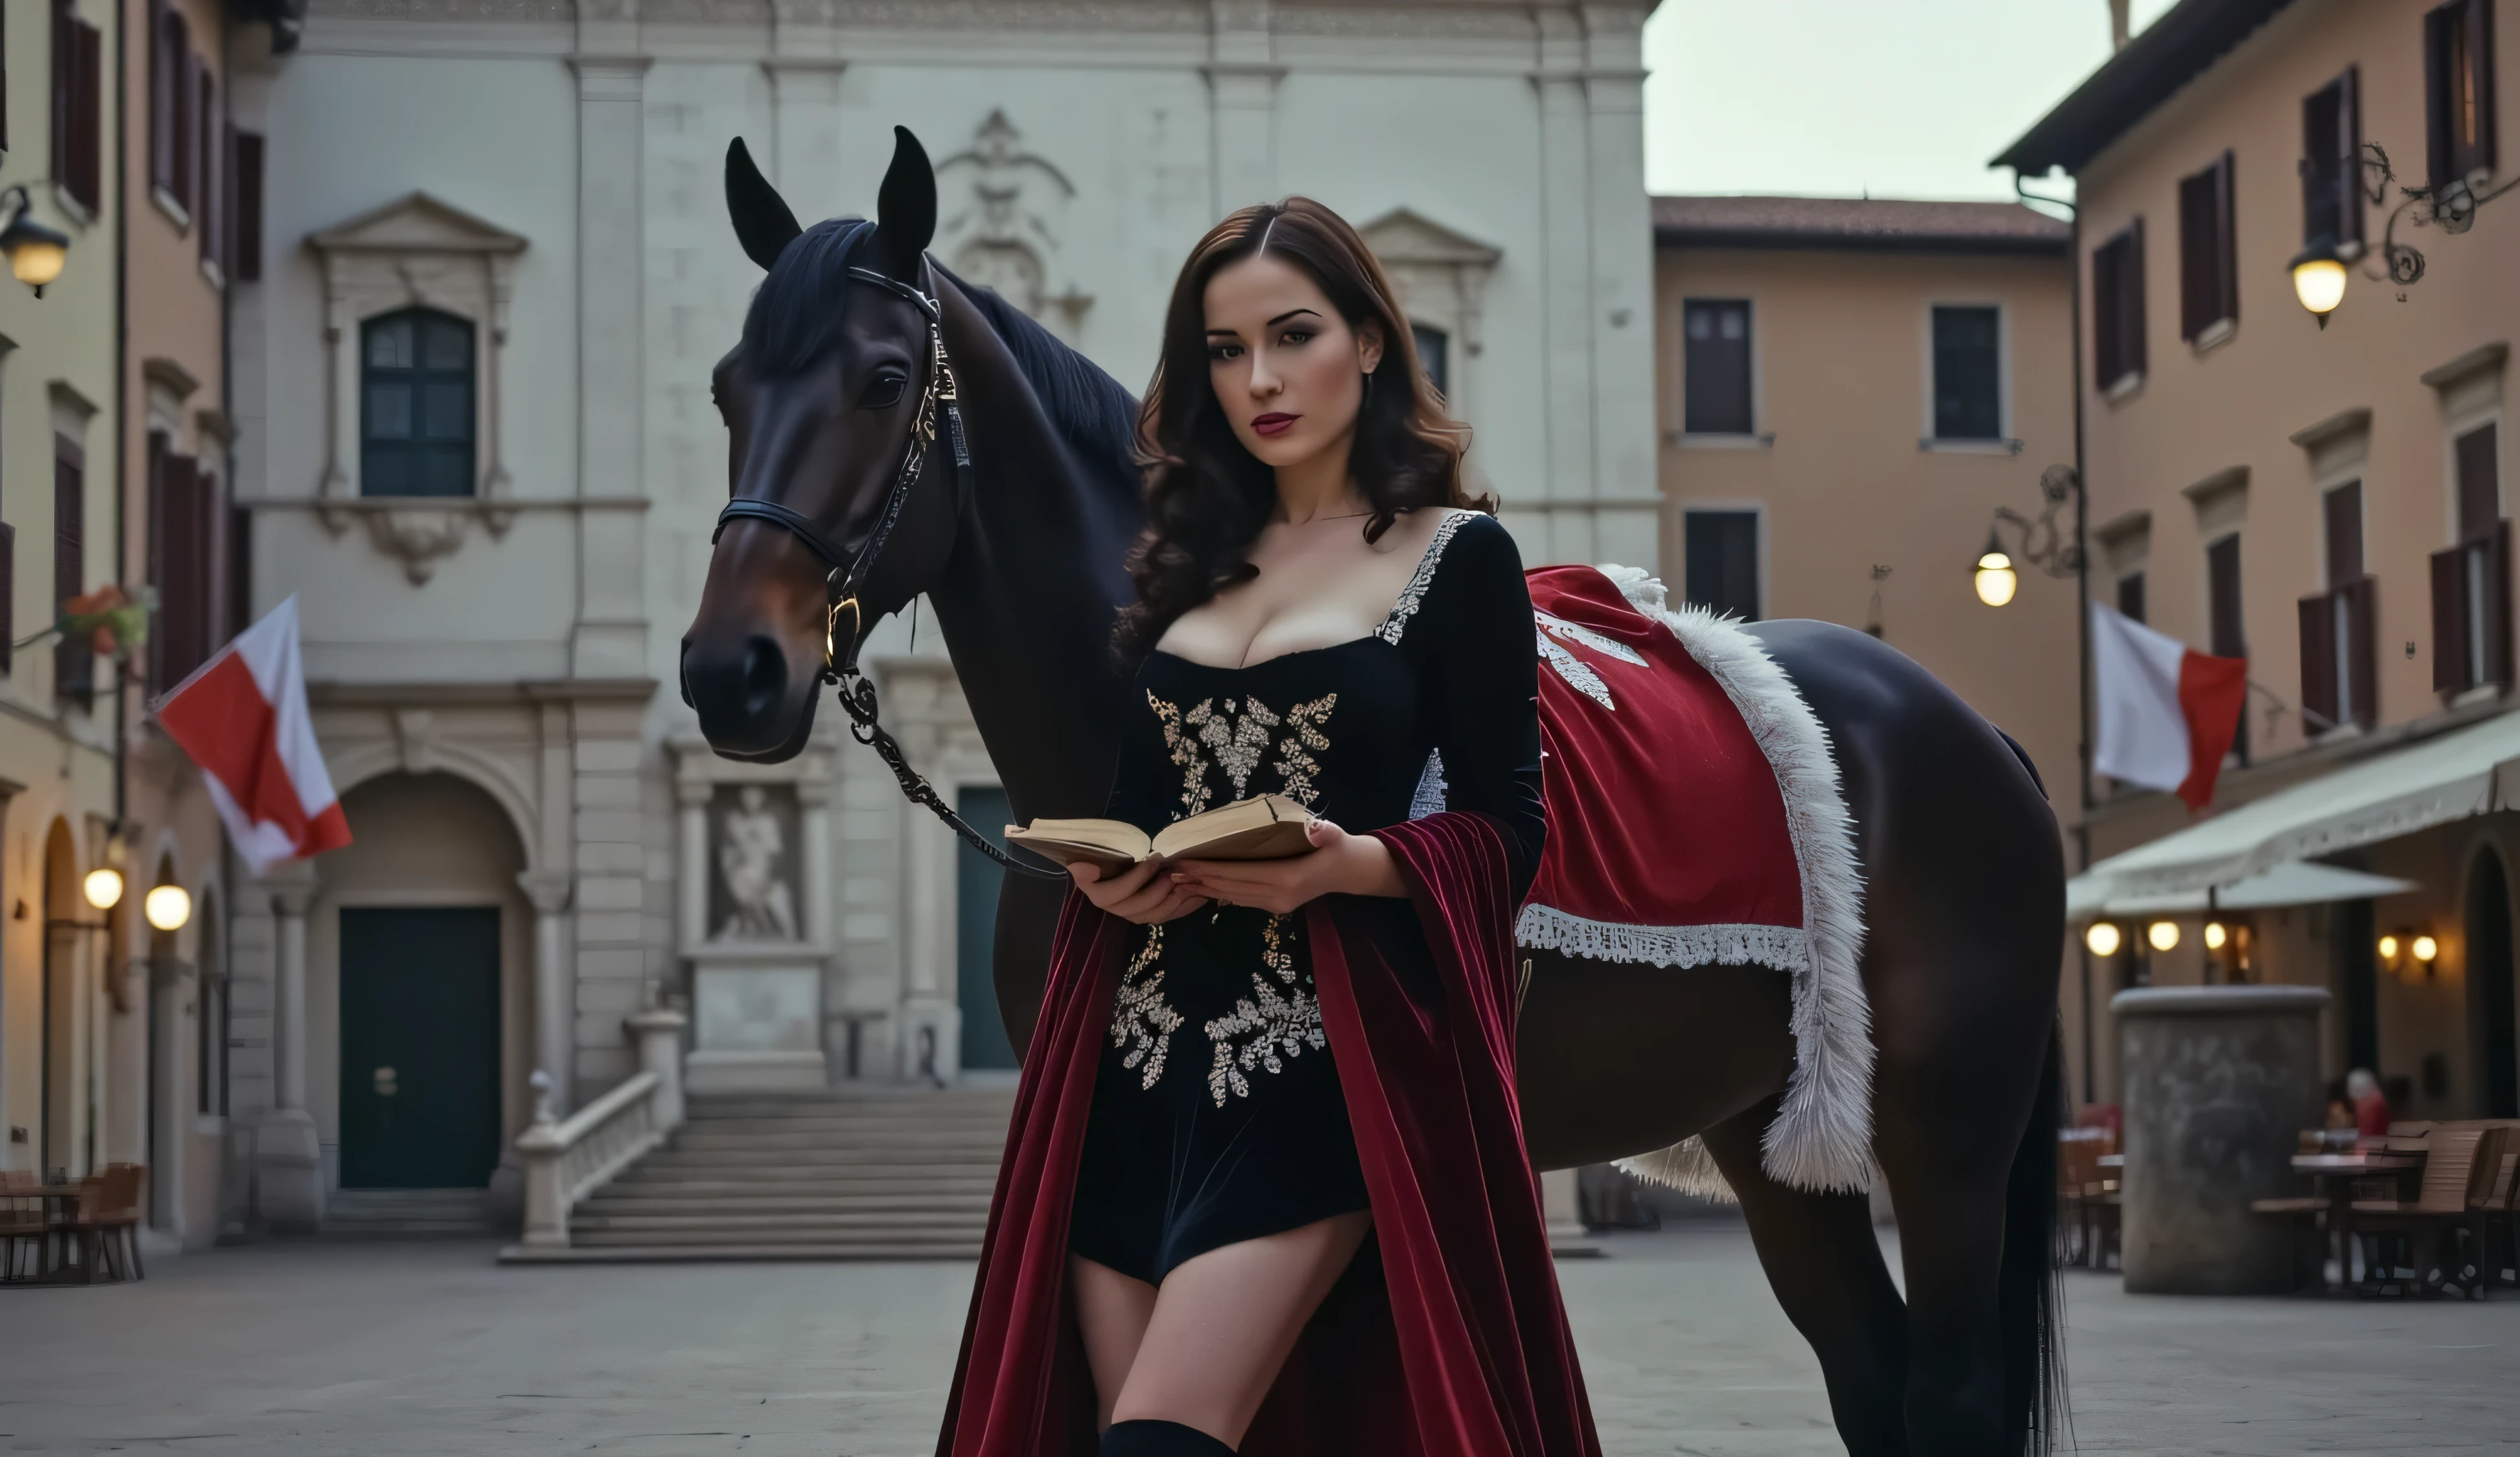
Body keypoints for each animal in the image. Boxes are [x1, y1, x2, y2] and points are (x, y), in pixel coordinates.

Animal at [680, 127, 2056, 1452]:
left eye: (882, 380)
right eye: (722, 388)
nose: (725, 669)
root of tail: (1973, 725)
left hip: (1947, 1128)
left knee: (1946, 1397)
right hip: (1773, 1127)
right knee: (1870, 1379)